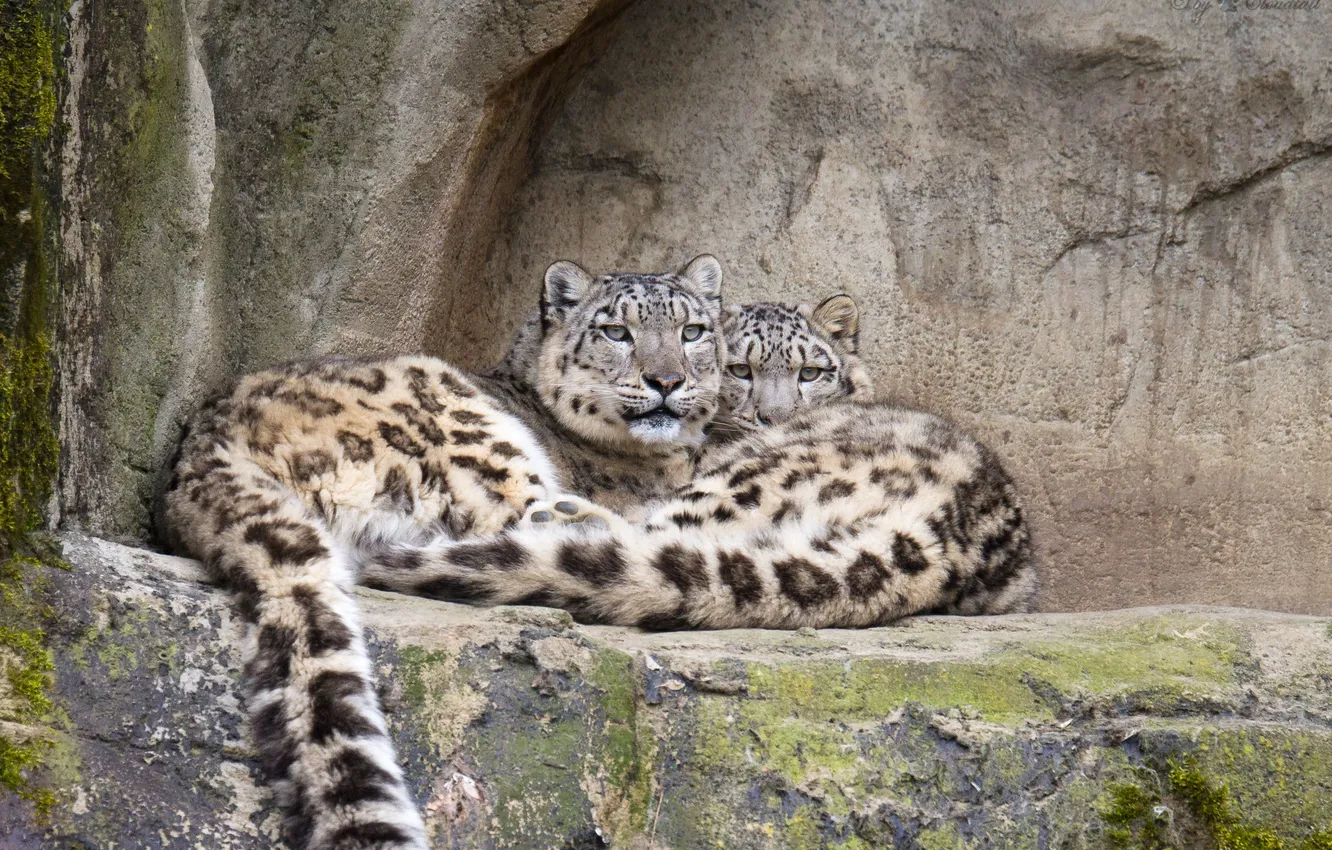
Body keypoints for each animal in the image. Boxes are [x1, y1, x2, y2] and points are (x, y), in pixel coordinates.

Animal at [159, 255, 726, 850]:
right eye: (616, 331)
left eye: (693, 331)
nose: (667, 381)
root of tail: (206, 443)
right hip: (475, 434)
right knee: (530, 523)